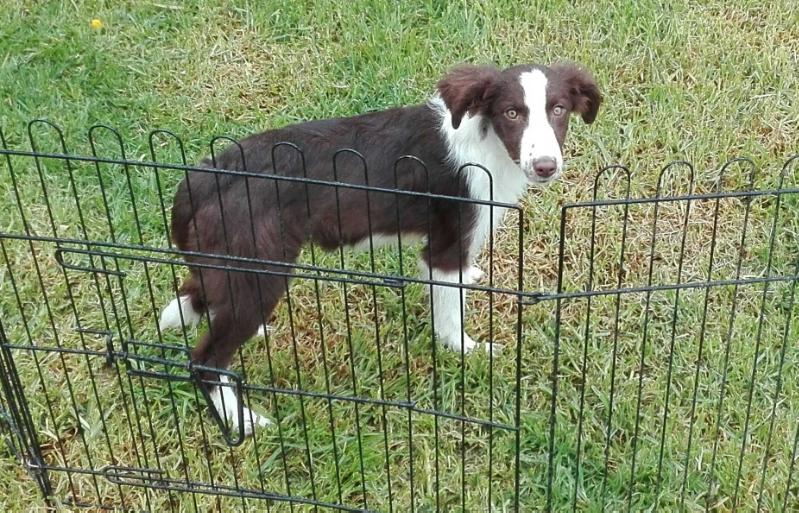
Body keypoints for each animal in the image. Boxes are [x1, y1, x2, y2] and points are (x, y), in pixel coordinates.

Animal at [159, 62, 604, 434]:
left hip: (232, 264)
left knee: (198, 295)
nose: (546, 166)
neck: (487, 142)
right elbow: (450, 313)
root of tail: (203, 177)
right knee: (205, 360)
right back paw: (242, 420)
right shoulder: (448, 243)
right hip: (259, 268)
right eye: (512, 113)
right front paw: (467, 351)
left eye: (559, 110)